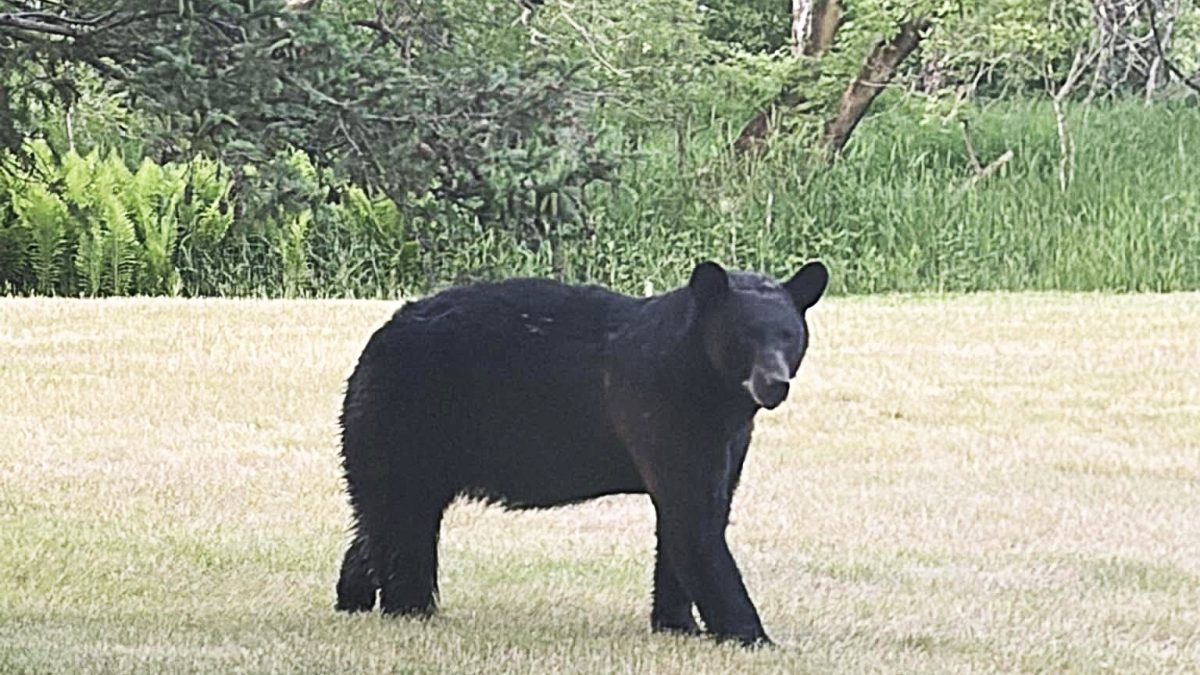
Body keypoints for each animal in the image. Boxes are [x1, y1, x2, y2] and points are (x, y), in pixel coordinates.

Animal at [334, 260, 828, 646]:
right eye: (744, 336)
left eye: (789, 336)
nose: (774, 383)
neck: (709, 384)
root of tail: (377, 339)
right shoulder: (661, 405)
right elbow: (695, 522)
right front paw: (753, 635)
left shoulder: (728, 433)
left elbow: (692, 517)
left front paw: (676, 624)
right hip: (408, 418)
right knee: (404, 518)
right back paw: (411, 606)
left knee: (378, 517)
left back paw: (353, 595)